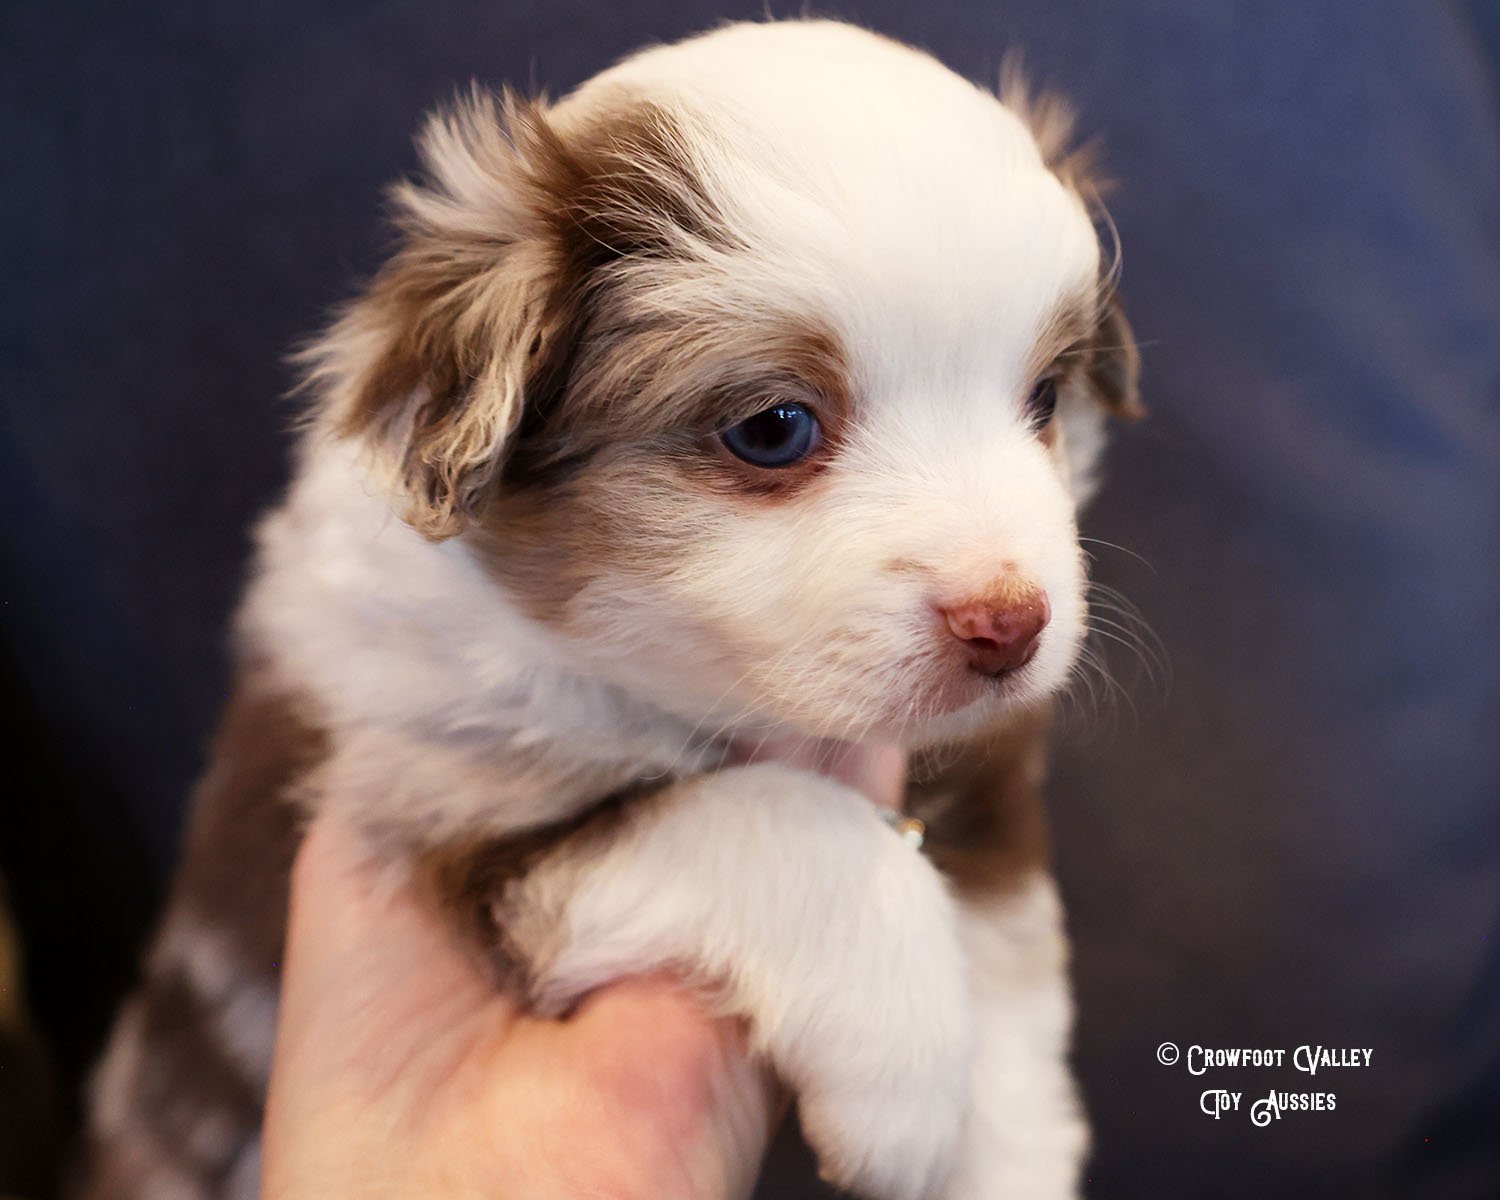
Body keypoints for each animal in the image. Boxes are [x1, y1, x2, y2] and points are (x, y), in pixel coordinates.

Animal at [79, 18, 1134, 1200]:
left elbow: (1006, 939)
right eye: (773, 428)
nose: (1010, 624)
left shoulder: (979, 765)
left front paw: (1002, 1142)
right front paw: (904, 1072)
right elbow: (780, 822)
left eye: (1044, 399)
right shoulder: (455, 801)